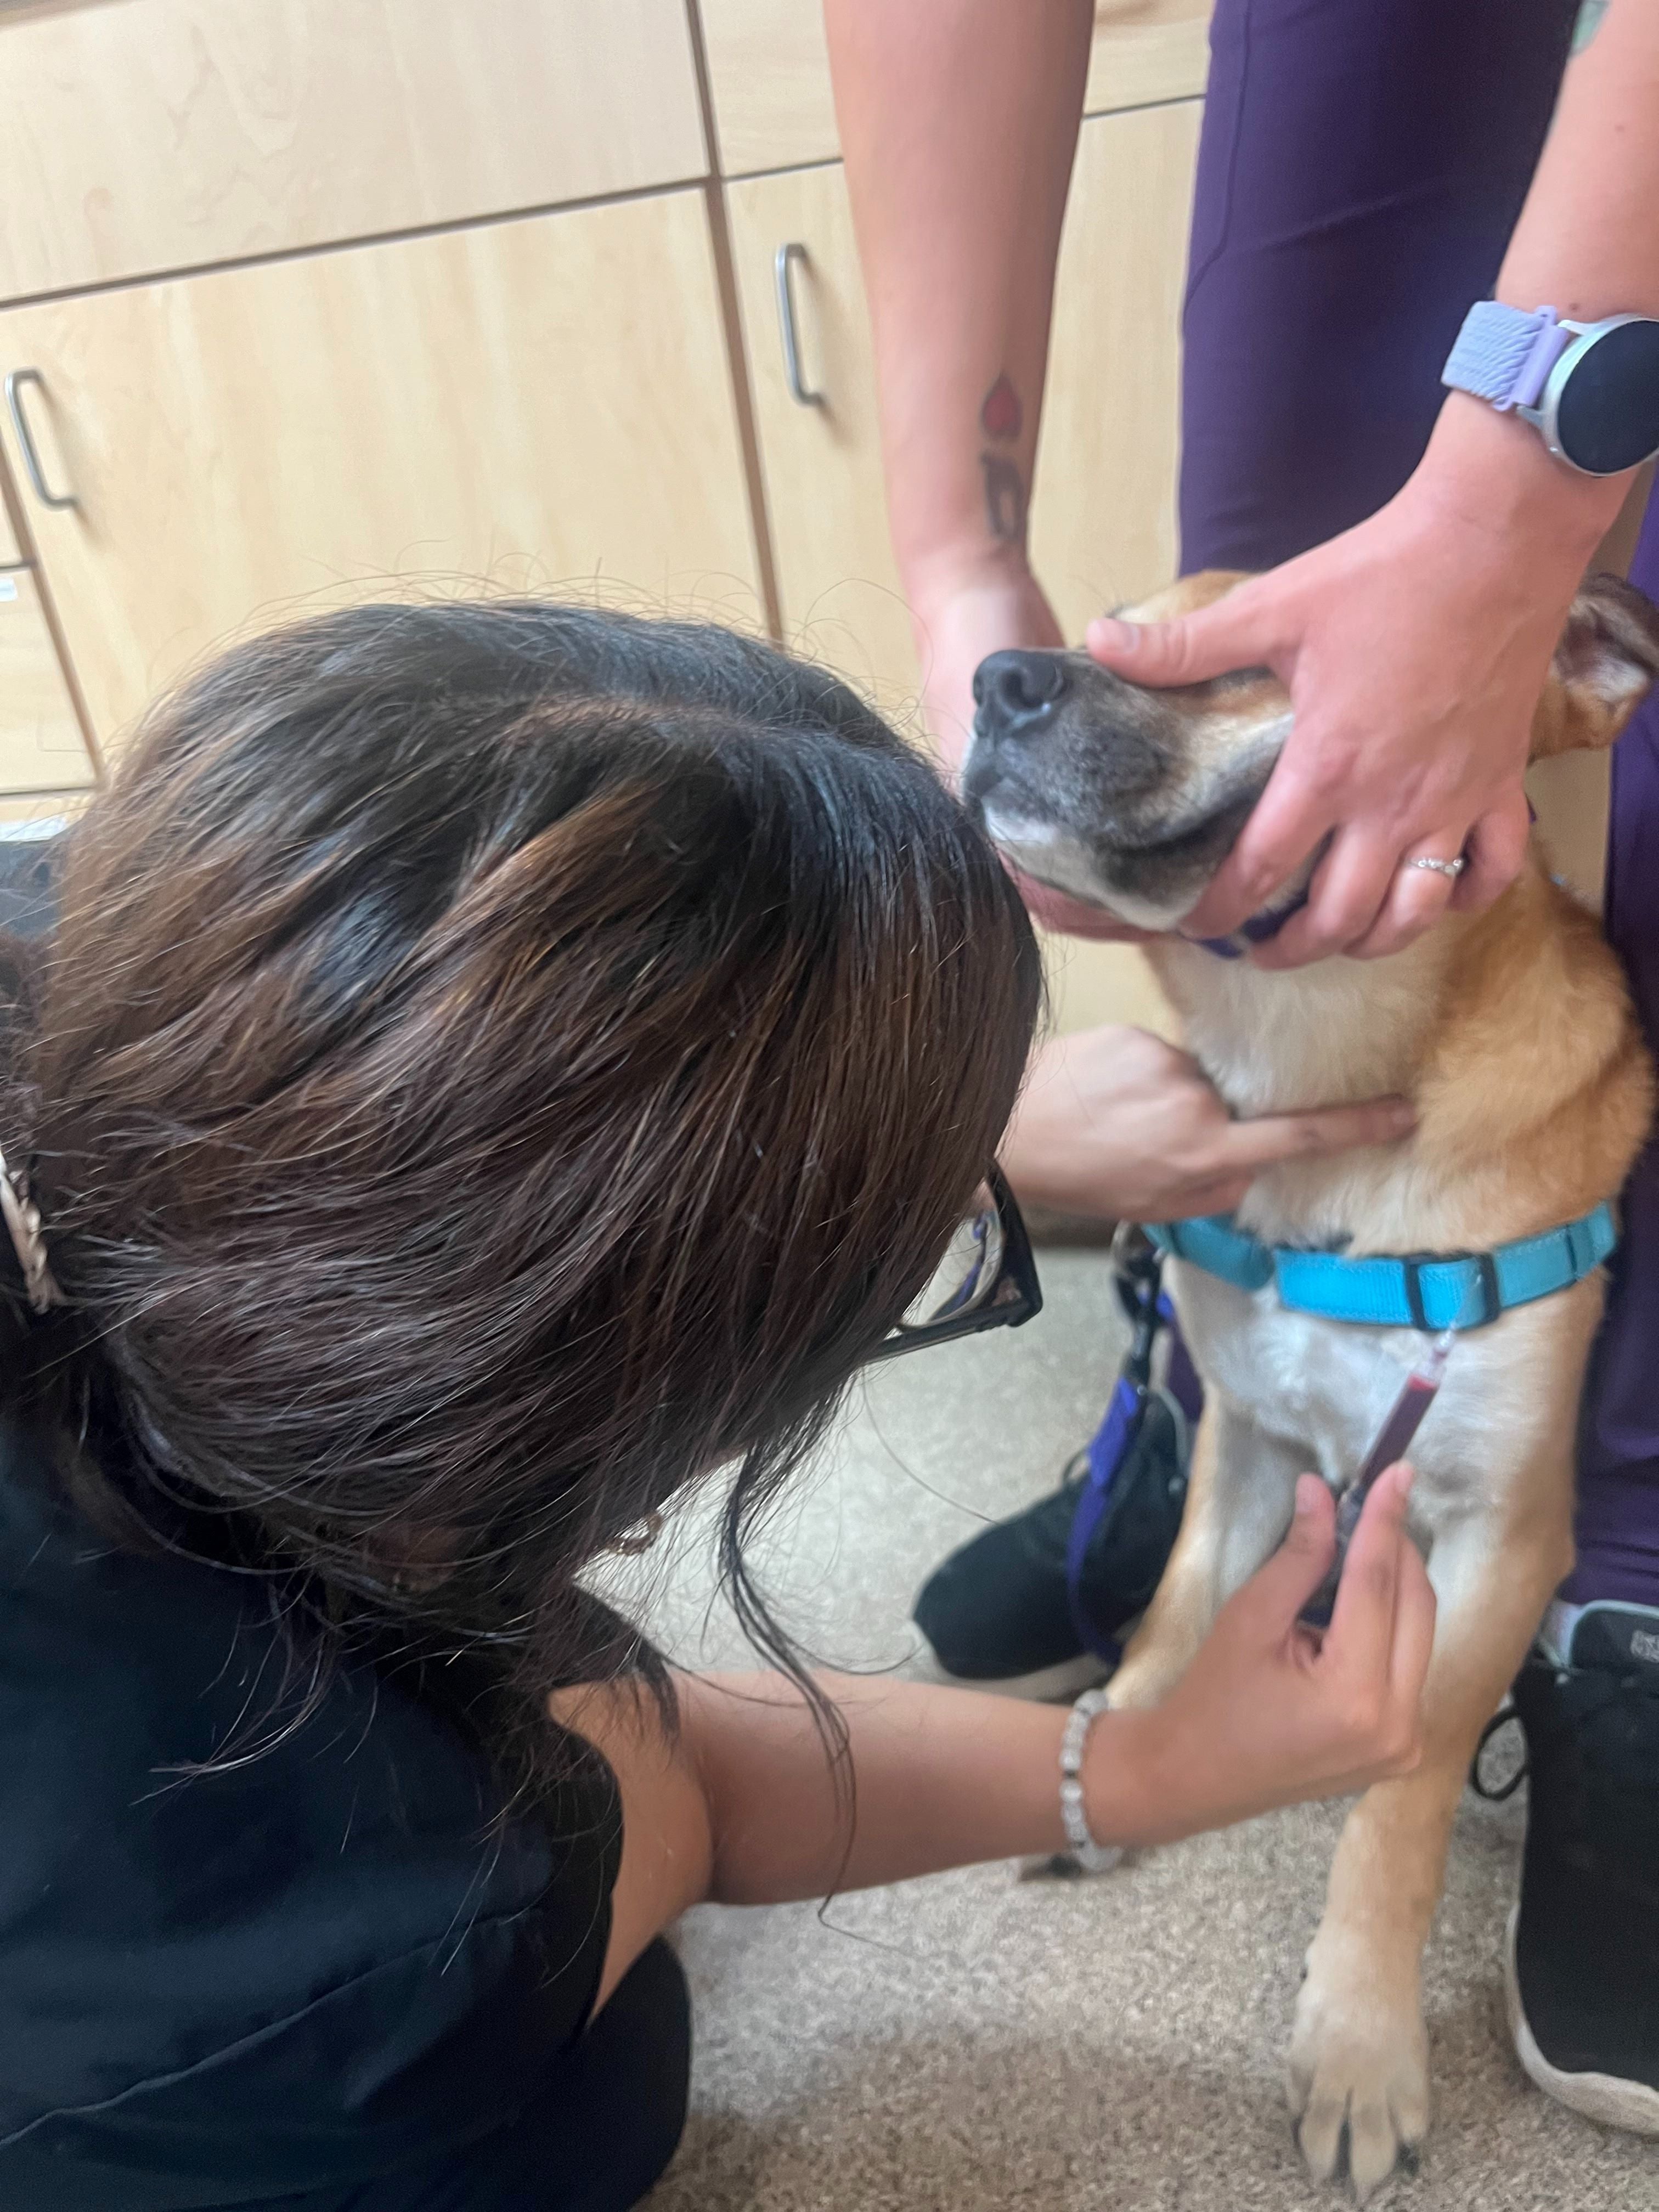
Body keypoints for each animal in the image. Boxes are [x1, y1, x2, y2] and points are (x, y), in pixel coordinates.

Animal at [963, 571, 1659, 2198]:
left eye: (1254, 657)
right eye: (1110, 620)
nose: (996, 676)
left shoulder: (1503, 1534)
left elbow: (1400, 1795)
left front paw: (1359, 2040)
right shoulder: (1247, 1450)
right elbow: (1169, 1618)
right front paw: (1120, 1753)